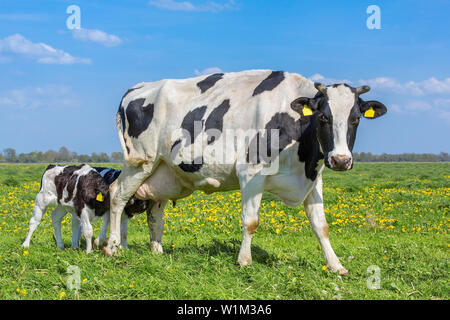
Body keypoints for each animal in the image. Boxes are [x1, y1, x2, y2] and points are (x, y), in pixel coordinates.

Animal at [22, 165, 153, 252]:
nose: (143, 205)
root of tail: (52, 166)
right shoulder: (82, 209)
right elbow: (88, 231)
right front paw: (89, 251)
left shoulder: (116, 214)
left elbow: (123, 231)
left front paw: (122, 248)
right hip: (42, 199)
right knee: (34, 221)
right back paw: (25, 244)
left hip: (62, 205)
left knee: (56, 218)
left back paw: (62, 245)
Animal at [103, 69, 386, 274]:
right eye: (324, 118)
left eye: (355, 119)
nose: (340, 160)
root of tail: (137, 88)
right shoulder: (251, 173)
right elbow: (250, 221)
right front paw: (244, 260)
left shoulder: (313, 179)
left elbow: (321, 226)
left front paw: (336, 265)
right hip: (140, 161)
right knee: (117, 195)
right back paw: (112, 247)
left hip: (163, 172)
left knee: (154, 214)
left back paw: (157, 251)